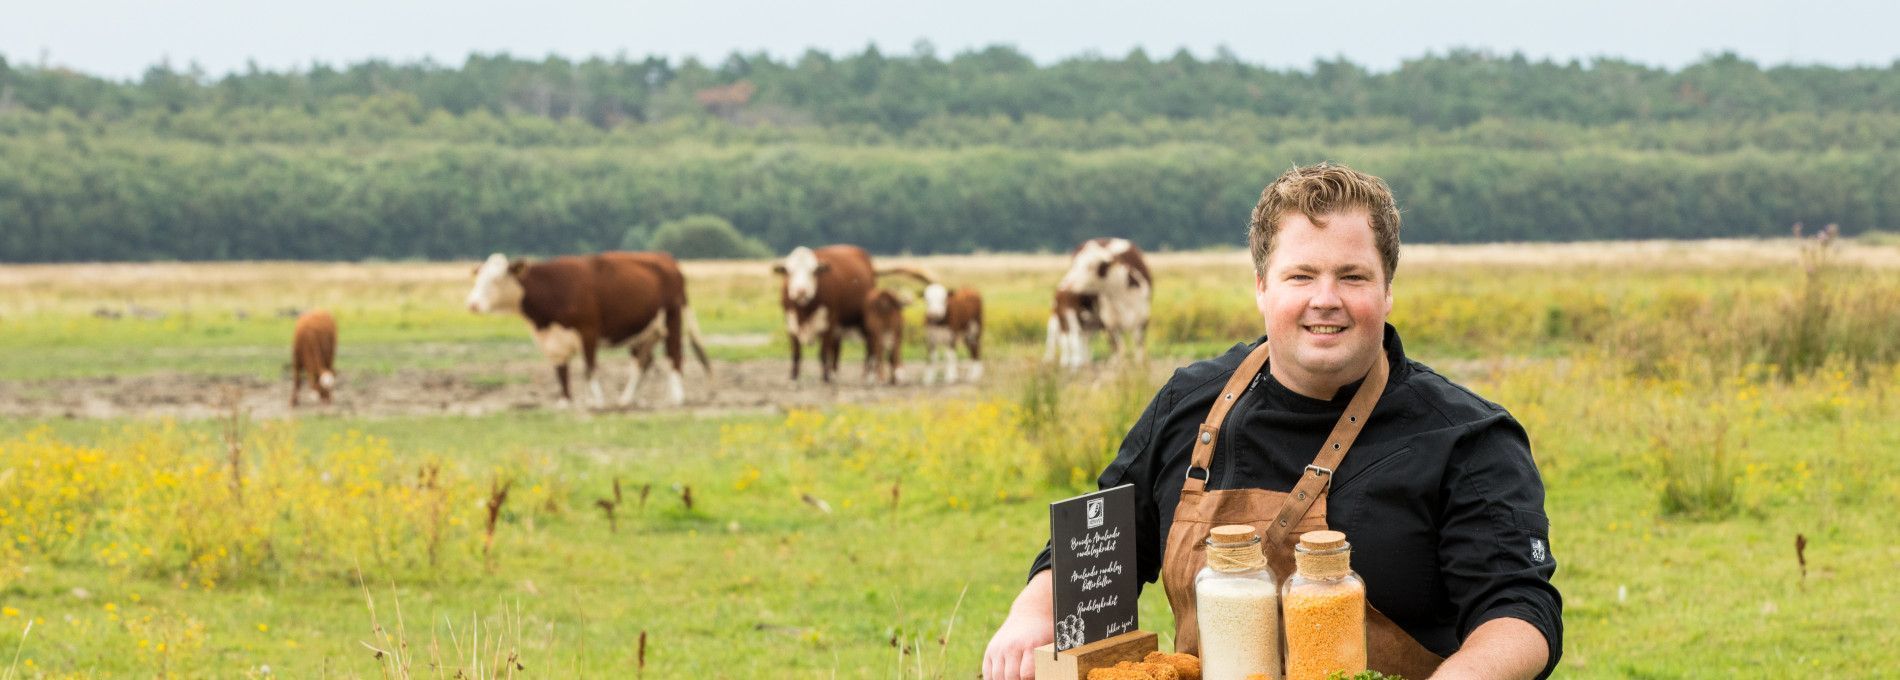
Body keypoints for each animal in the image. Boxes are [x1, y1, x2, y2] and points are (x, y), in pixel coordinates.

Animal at [467, 250, 714, 406]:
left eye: (497, 279)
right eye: (477, 279)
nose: (472, 304)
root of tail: (667, 259)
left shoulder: (588, 331)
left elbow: (589, 367)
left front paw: (596, 401)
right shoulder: (553, 340)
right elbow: (561, 371)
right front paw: (565, 401)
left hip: (672, 320)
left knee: (674, 355)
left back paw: (677, 397)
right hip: (644, 331)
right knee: (643, 362)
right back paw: (627, 400)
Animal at [767, 245, 877, 381]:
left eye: (813, 271)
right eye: (789, 271)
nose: (801, 291)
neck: (804, 310)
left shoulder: (828, 324)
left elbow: (823, 353)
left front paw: (826, 376)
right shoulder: (791, 324)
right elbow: (796, 353)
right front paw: (794, 375)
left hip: (863, 320)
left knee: (870, 344)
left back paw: (869, 375)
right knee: (837, 347)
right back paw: (835, 372)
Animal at [1048, 236, 1147, 368]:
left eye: (1090, 266)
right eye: (1075, 263)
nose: (1067, 285)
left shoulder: (1143, 319)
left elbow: (1138, 344)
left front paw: (1140, 366)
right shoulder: (1110, 324)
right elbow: (1118, 346)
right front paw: (1117, 366)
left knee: (1079, 338)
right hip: (1066, 316)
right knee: (1065, 337)